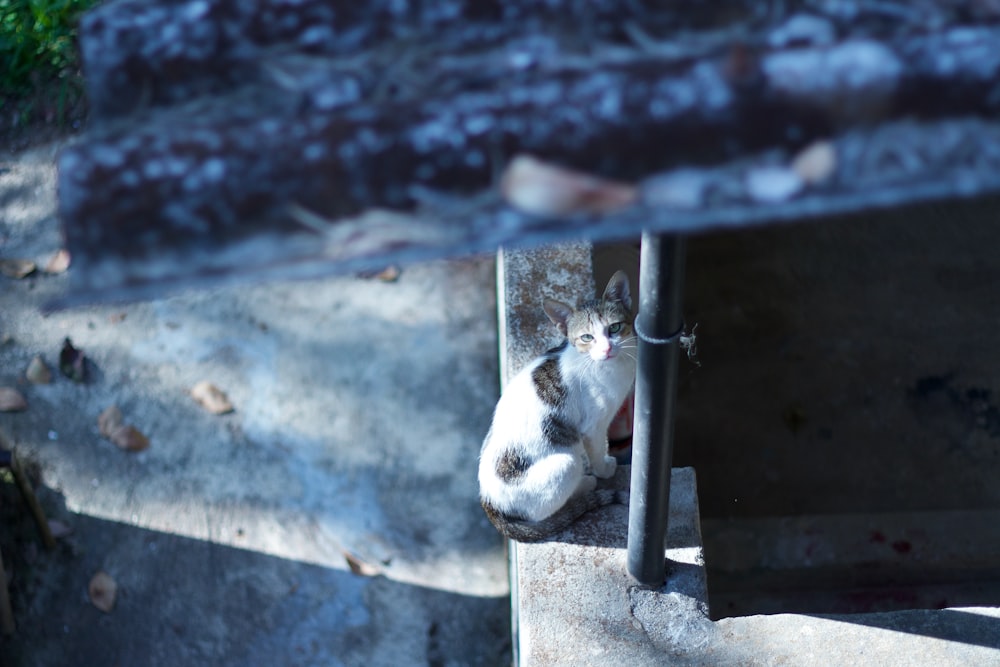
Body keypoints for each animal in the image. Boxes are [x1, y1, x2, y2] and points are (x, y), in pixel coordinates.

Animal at [476, 272, 632, 544]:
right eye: (587, 337)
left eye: (614, 327)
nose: (607, 349)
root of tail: (489, 503)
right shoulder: (593, 426)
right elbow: (597, 450)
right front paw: (604, 469)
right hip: (565, 464)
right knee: (543, 511)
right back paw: (585, 484)